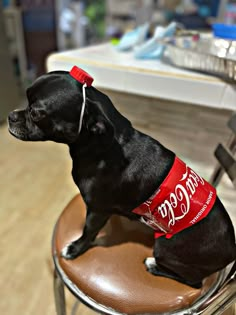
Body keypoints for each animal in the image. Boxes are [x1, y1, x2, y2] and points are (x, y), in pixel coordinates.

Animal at [8, 71, 235, 288]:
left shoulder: (97, 211)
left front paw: (75, 248)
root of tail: (232, 250)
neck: (100, 145)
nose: (10, 116)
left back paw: (153, 265)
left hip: (166, 248)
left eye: (36, 113)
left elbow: (88, 232)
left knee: (193, 282)